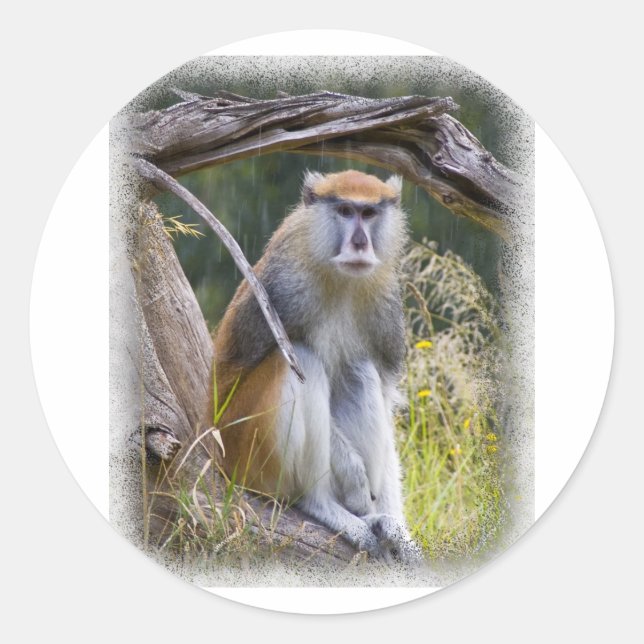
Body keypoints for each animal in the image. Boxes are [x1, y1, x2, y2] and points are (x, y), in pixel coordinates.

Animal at [212, 169, 420, 563]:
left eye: (369, 213)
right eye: (344, 211)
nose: (359, 243)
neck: (341, 278)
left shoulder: (385, 308)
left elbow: (385, 398)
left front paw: (398, 529)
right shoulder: (284, 289)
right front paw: (354, 480)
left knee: (360, 369)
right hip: (244, 452)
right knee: (301, 357)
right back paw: (321, 505)